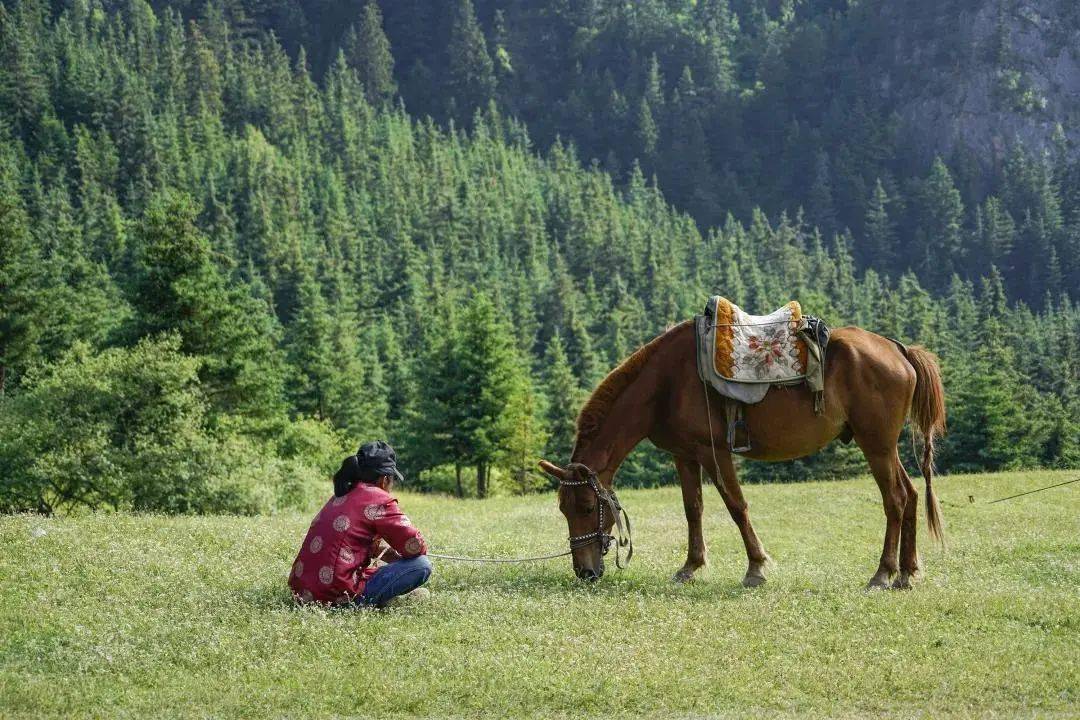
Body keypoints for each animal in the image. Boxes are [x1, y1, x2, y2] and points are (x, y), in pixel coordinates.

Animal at [540, 321, 946, 591]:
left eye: (587, 507)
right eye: (563, 509)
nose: (585, 572)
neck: (664, 385)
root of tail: (898, 349)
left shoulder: (714, 452)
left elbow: (736, 506)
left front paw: (756, 568)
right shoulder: (684, 456)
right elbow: (693, 509)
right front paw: (690, 567)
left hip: (875, 445)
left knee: (895, 499)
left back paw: (883, 573)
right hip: (884, 447)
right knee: (910, 496)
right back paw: (907, 572)